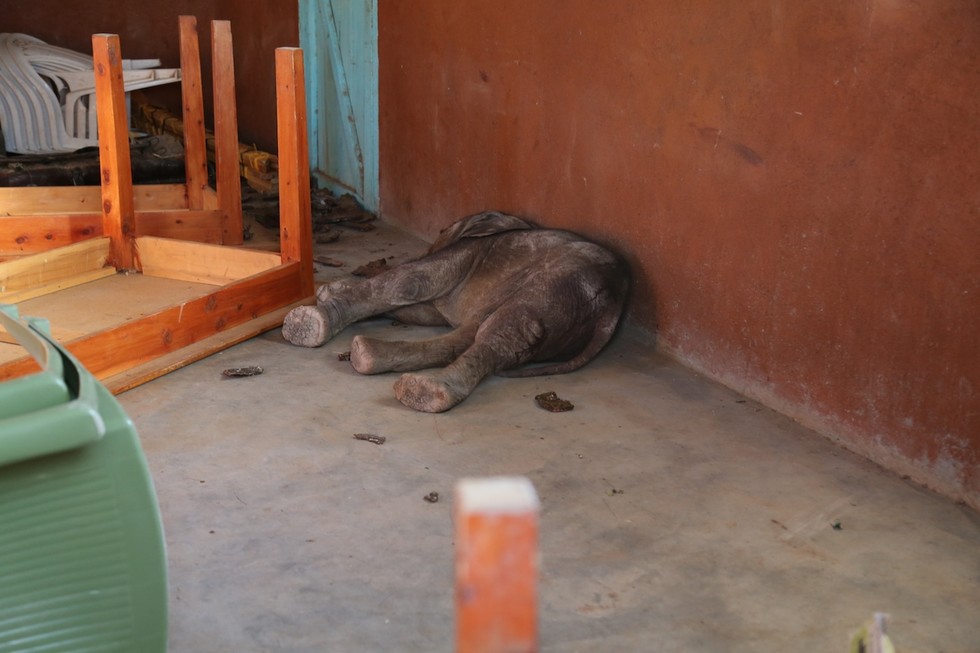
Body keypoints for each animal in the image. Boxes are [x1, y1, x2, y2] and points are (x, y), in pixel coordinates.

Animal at [280, 211, 628, 410]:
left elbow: (411, 282)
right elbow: (417, 309)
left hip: (556, 286)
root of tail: (611, 310)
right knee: (476, 334)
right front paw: (327, 293)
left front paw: (318, 308)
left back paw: (426, 391)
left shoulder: (470, 252)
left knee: (502, 329)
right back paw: (372, 358)